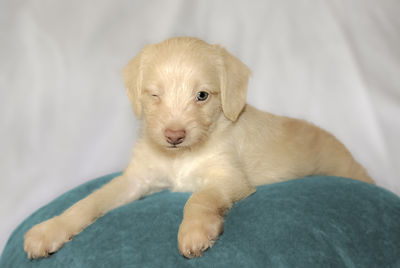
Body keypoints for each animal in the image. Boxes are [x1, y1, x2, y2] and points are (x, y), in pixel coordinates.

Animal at [24, 36, 376, 258]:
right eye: (154, 95)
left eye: (202, 95)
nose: (174, 135)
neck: (180, 157)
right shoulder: (135, 180)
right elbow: (88, 202)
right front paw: (49, 230)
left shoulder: (229, 177)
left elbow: (199, 198)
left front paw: (195, 232)